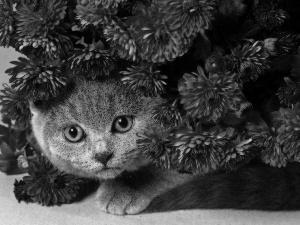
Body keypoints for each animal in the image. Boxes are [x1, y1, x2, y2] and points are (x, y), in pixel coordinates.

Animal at [29, 75, 300, 214]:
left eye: (123, 123)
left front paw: (124, 191)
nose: (103, 155)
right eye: (73, 133)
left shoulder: (204, 144)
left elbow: (165, 171)